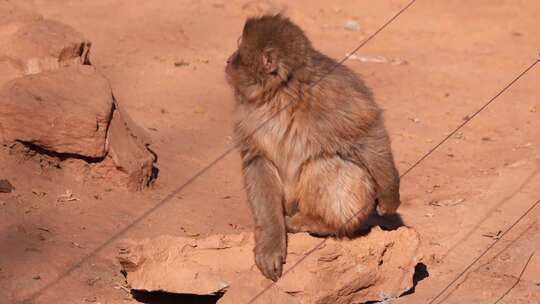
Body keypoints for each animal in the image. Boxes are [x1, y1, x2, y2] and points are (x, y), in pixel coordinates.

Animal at [225, 13, 400, 280]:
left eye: (239, 51)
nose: (228, 60)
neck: (281, 93)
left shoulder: (333, 91)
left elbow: (369, 130)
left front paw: (390, 195)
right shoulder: (249, 116)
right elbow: (258, 162)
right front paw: (270, 242)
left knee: (325, 164)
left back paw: (318, 223)